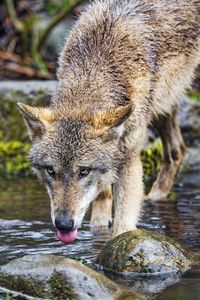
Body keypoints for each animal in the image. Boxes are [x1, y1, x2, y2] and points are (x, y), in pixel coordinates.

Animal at [17, 0, 200, 243]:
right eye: (50, 171)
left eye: (83, 171)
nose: (64, 224)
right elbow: (101, 207)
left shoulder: (129, 158)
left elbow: (123, 225)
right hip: (163, 105)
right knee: (177, 151)